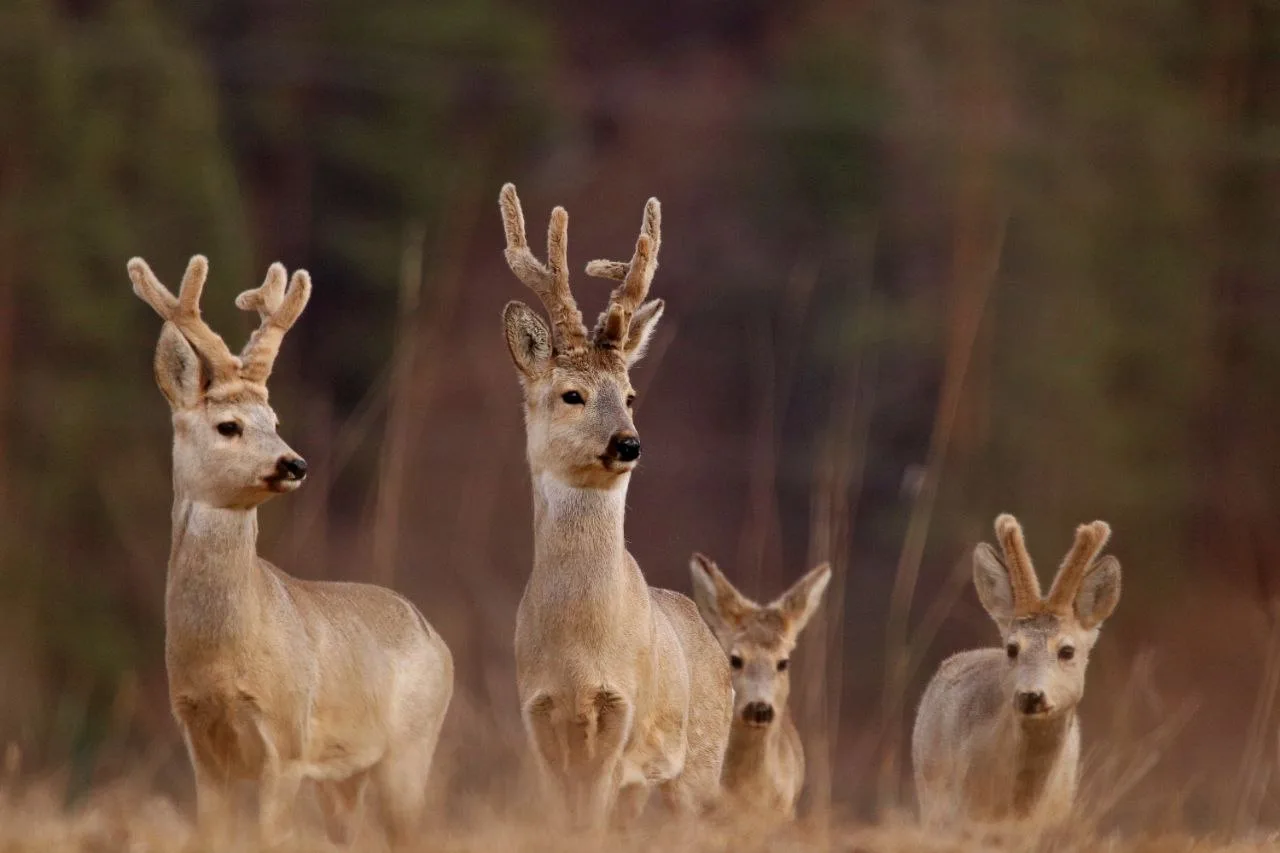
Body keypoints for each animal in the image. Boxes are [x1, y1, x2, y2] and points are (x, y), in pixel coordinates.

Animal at [127, 255, 453, 847]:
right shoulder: (200, 744)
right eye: (228, 425)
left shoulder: (287, 741)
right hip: (345, 777)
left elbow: (269, 837)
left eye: (275, 421)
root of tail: (434, 637)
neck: (222, 659)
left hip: (411, 749)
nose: (294, 463)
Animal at [496, 183, 733, 829]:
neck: (580, 652)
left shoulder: (620, 717)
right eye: (571, 394)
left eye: (629, 394)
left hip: (699, 762)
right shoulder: (535, 714)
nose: (628, 443)